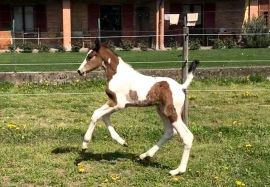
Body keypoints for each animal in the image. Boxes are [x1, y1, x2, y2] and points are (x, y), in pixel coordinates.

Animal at [77, 39, 199, 177]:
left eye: (90, 57)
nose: (79, 71)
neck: (118, 75)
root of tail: (180, 86)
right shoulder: (117, 104)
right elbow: (105, 117)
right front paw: (122, 142)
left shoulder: (117, 103)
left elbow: (96, 114)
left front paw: (85, 145)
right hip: (162, 111)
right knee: (170, 132)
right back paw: (145, 156)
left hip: (172, 113)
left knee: (186, 136)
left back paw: (177, 170)